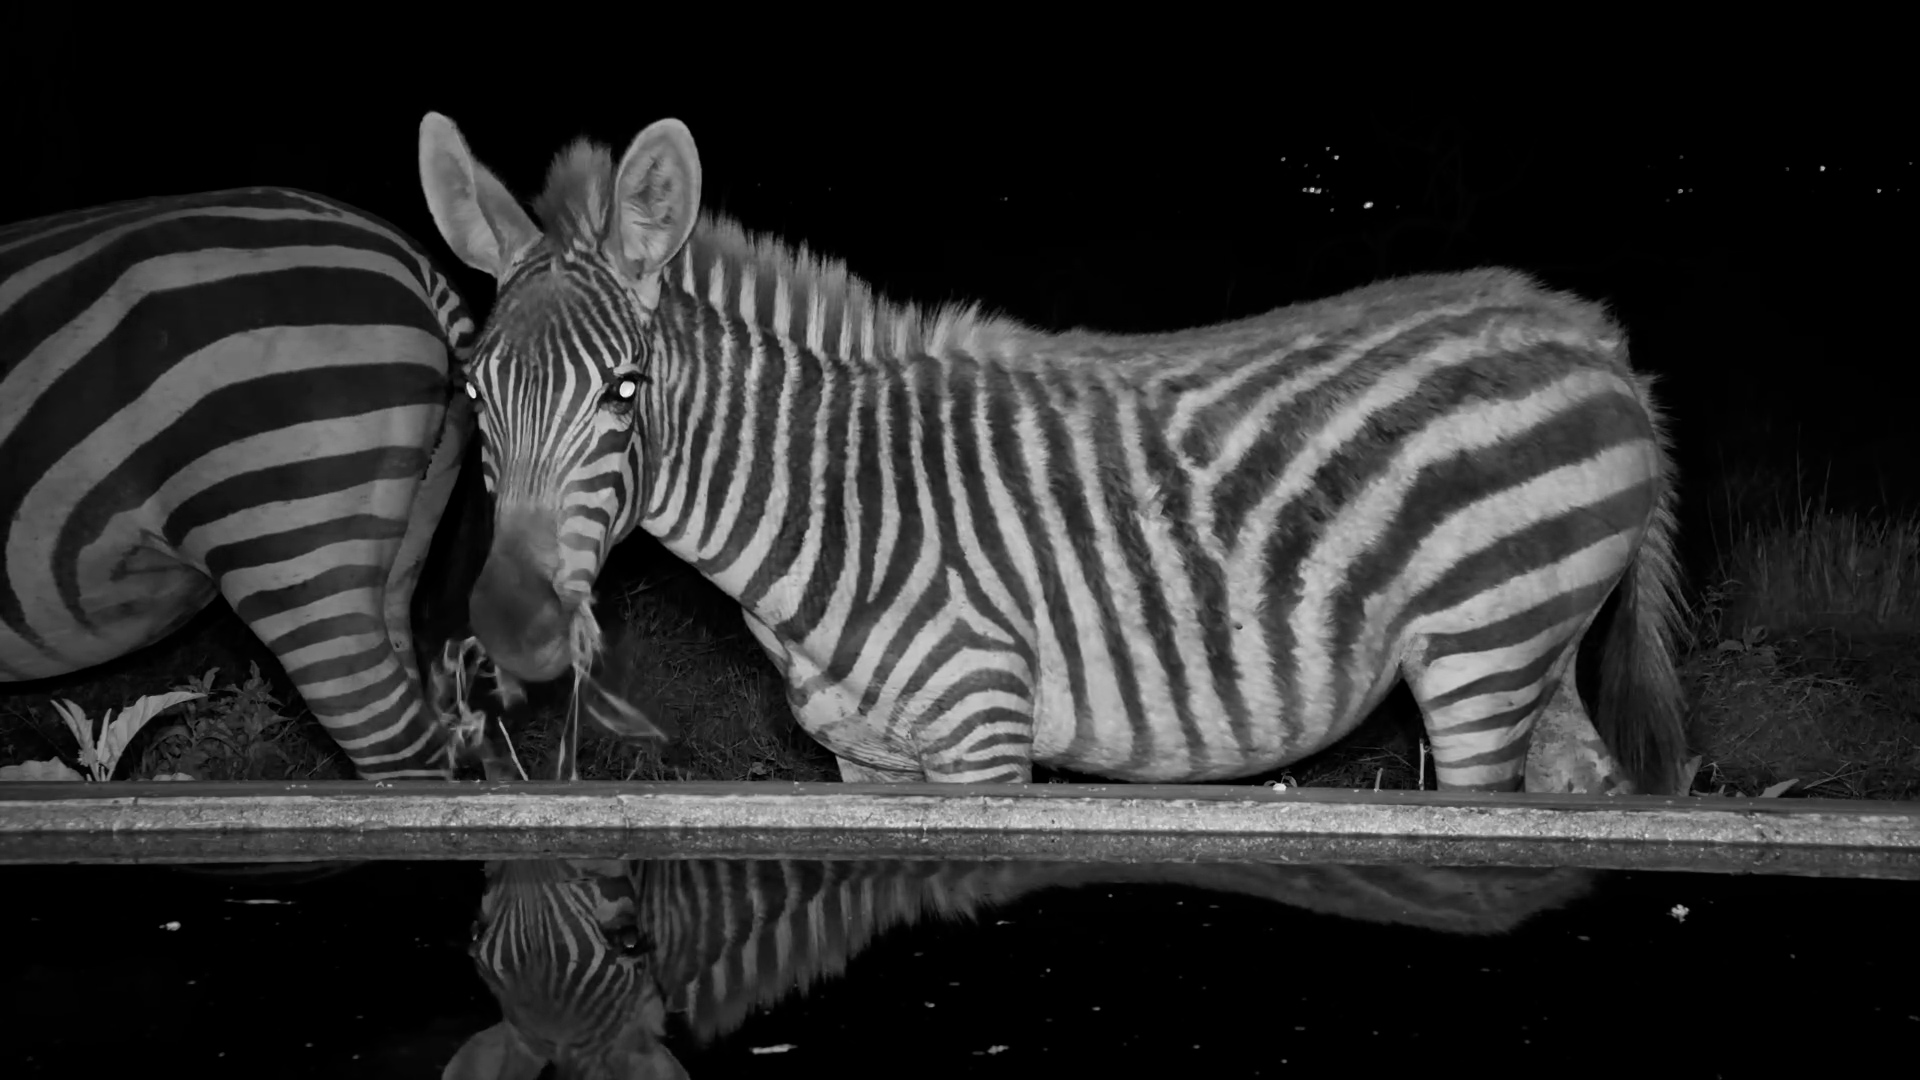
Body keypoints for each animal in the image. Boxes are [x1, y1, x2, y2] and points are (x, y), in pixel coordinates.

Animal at [416, 112, 1690, 796]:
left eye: (624, 393)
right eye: (470, 391)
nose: (511, 629)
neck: (835, 505)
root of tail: (1592, 332)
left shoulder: (984, 737)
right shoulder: (866, 766)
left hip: (1482, 647)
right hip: (1537, 646)